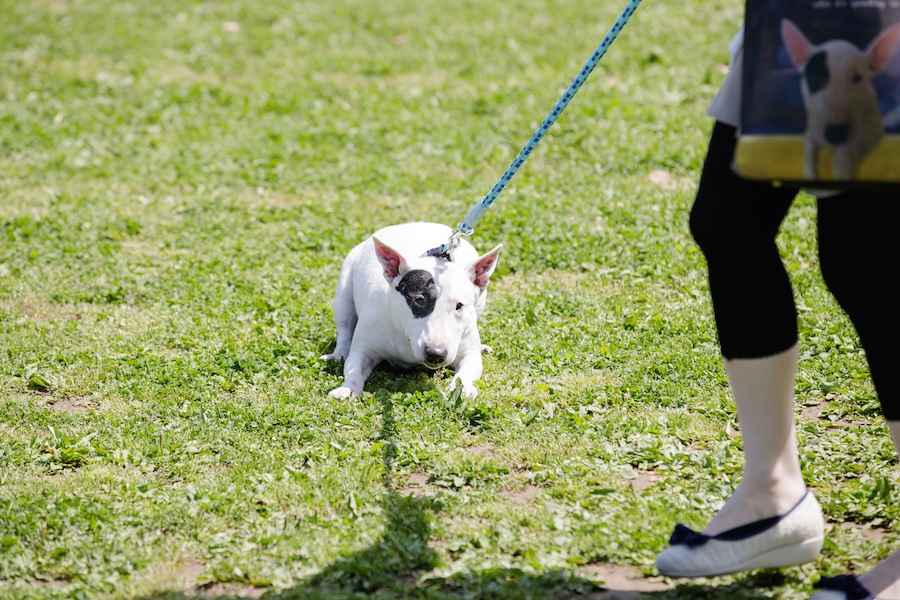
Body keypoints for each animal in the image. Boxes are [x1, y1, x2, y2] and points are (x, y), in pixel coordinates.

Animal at [320, 223, 502, 400]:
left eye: (459, 305)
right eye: (419, 300)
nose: (435, 354)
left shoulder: (467, 352)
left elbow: (468, 369)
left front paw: (462, 390)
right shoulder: (364, 348)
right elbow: (353, 367)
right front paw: (347, 388)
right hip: (343, 294)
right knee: (345, 329)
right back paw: (338, 354)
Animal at [776, 18, 900, 178]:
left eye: (857, 78)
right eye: (814, 77)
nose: (836, 133)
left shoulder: (874, 130)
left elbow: (852, 146)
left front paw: (843, 168)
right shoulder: (813, 130)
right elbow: (809, 151)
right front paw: (811, 175)